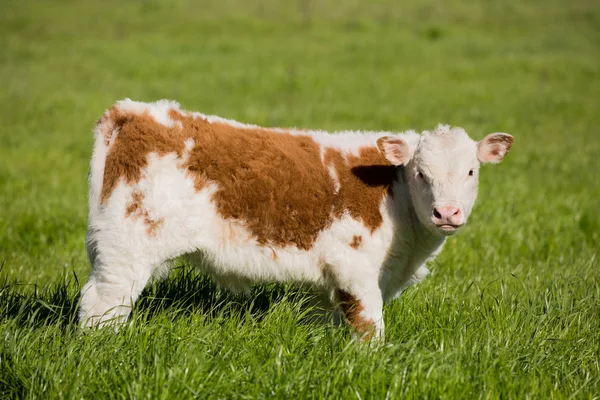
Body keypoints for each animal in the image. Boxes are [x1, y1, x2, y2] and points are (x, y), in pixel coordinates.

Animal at [78, 98, 510, 340]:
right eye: (420, 173)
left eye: (471, 171)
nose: (447, 212)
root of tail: (132, 112)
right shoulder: (355, 268)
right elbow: (370, 327)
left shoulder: (328, 282)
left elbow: (326, 323)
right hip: (126, 249)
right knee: (102, 307)